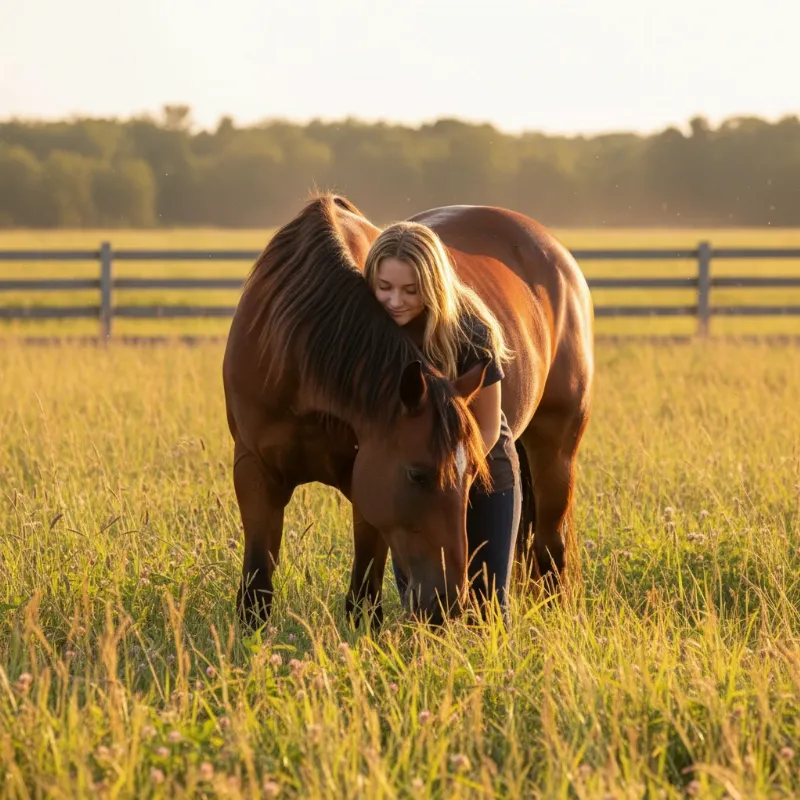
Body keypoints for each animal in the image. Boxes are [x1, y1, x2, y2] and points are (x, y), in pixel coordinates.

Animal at [222, 193, 594, 628]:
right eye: (417, 474)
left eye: (472, 476)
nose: (449, 600)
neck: (293, 354)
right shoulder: (254, 470)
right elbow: (257, 584)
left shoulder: (363, 481)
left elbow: (364, 591)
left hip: (557, 452)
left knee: (551, 550)